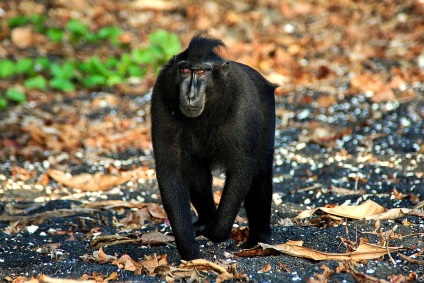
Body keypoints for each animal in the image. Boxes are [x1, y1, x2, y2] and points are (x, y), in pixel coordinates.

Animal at [151, 33, 276, 262]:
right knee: (195, 169)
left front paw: (217, 232)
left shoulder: (243, 100)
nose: (190, 94)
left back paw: (259, 239)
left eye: (202, 72)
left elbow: (242, 165)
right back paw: (205, 219)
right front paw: (190, 251)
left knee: (260, 172)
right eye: (185, 71)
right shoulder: (161, 95)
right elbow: (170, 168)